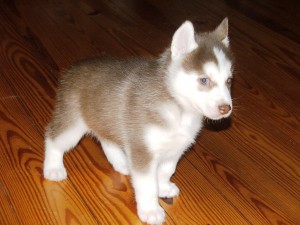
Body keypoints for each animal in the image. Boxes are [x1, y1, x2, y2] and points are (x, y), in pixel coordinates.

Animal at [43, 18, 233, 225]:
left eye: (229, 81)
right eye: (204, 80)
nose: (226, 108)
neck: (179, 110)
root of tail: (75, 66)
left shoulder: (175, 147)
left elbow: (166, 170)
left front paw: (163, 187)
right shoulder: (142, 149)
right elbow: (147, 185)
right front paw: (150, 210)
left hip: (106, 118)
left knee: (106, 140)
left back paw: (122, 163)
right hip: (73, 123)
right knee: (53, 138)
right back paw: (53, 168)